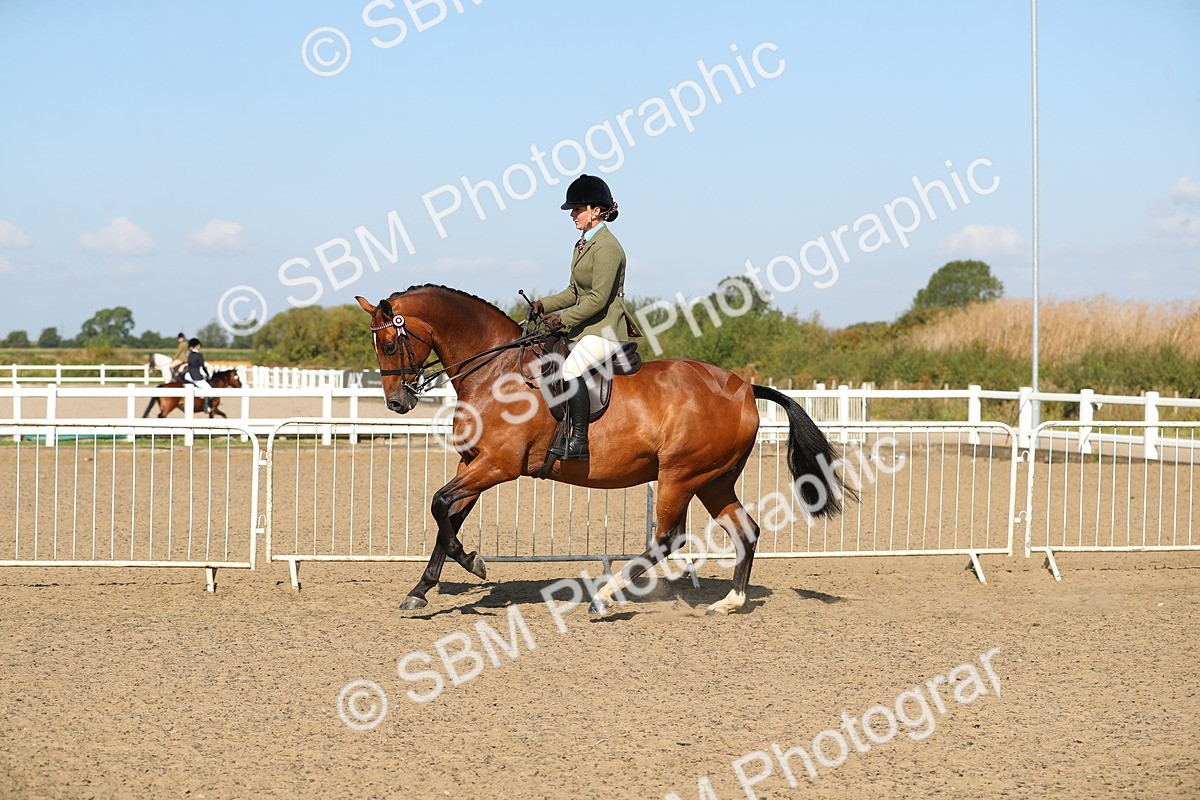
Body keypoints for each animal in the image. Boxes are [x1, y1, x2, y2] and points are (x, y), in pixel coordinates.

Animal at [355, 284, 853, 616]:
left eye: (390, 341)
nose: (397, 403)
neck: (497, 371)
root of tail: (745, 388)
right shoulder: (474, 461)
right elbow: (448, 517)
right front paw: (423, 588)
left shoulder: (499, 465)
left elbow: (440, 504)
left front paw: (473, 563)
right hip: (713, 479)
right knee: (744, 530)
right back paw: (729, 602)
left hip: (680, 475)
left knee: (667, 538)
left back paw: (606, 596)